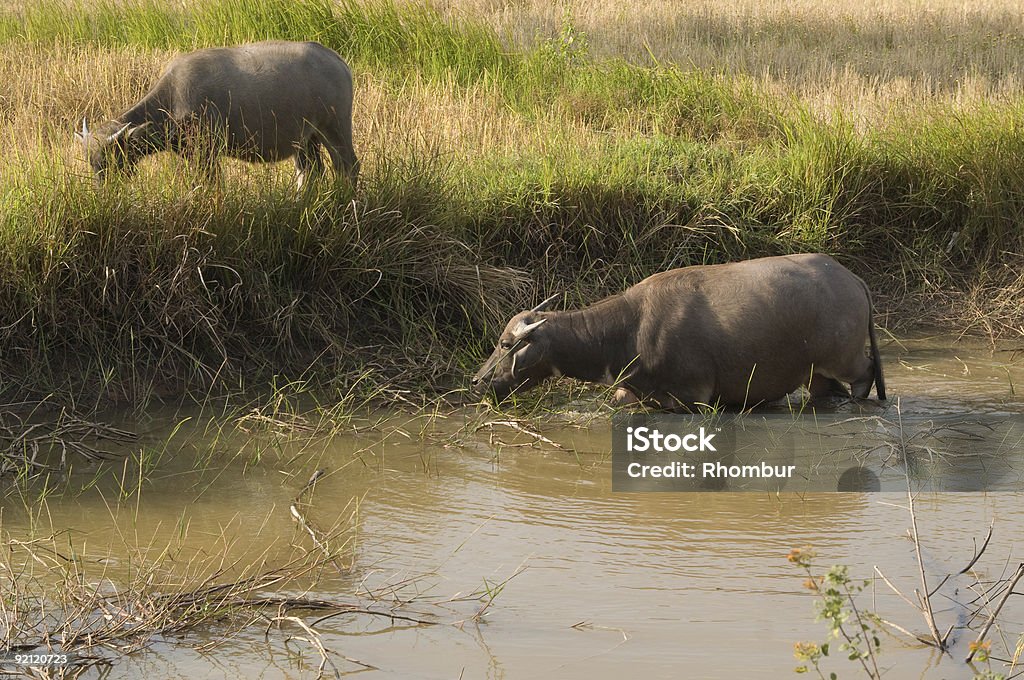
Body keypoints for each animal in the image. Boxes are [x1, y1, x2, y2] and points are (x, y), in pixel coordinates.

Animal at [75, 39, 358, 188]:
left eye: (110, 160)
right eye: (91, 162)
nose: (104, 190)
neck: (173, 99)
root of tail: (336, 60)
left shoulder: (207, 154)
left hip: (335, 129)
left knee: (348, 167)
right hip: (306, 140)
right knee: (310, 173)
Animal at [471, 251, 888, 405]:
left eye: (506, 344)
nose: (477, 380)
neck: (630, 330)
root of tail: (852, 279)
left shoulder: (695, 397)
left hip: (844, 358)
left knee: (865, 372)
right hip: (815, 373)